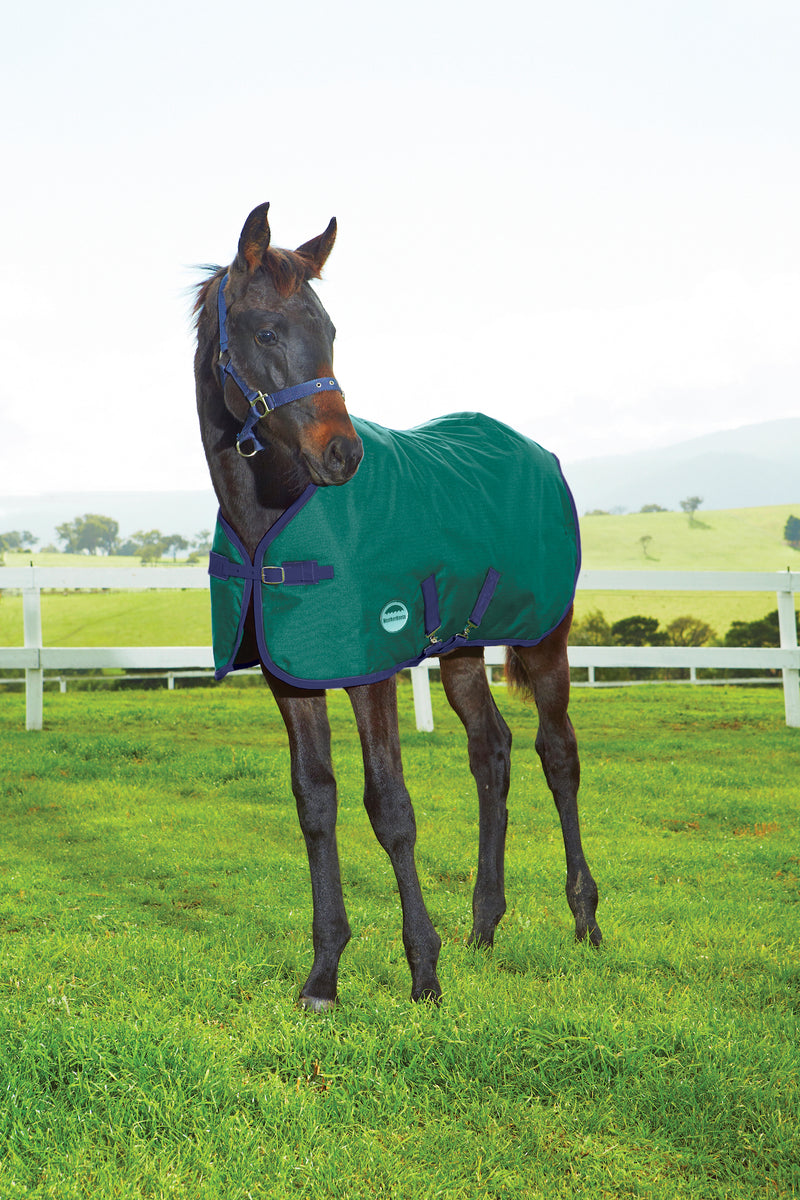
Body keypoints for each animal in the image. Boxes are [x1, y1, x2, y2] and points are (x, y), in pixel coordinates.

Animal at [193, 202, 601, 1009]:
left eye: (331, 330)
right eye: (266, 332)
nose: (342, 455)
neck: (275, 515)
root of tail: (538, 452)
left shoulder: (371, 669)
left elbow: (390, 807)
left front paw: (423, 973)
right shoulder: (293, 678)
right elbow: (315, 804)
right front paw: (323, 976)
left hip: (545, 638)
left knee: (557, 753)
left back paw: (585, 919)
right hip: (464, 648)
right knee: (491, 751)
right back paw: (484, 925)